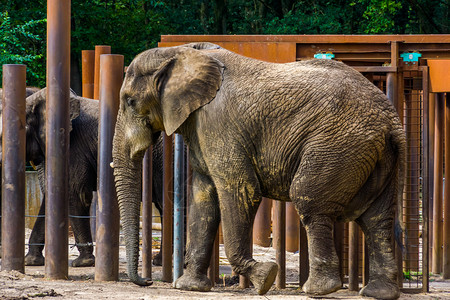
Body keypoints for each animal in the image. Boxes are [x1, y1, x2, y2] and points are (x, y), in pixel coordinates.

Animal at [110, 42, 406, 300]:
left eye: (130, 101)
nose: (147, 281)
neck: (178, 52)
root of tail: (392, 121)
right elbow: (203, 198)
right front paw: (189, 287)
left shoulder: (218, 124)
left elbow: (240, 189)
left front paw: (265, 278)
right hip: (376, 155)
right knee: (376, 218)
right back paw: (377, 293)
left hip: (337, 146)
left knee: (310, 202)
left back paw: (319, 290)